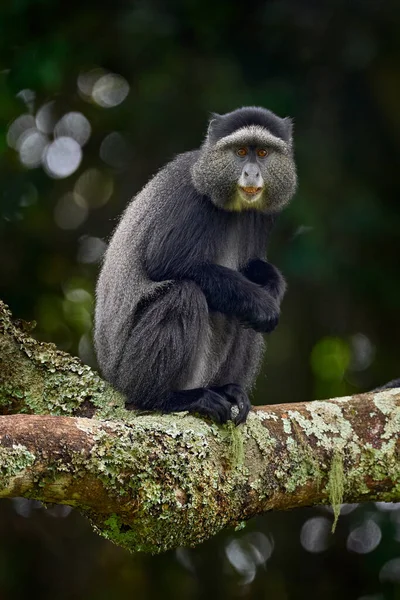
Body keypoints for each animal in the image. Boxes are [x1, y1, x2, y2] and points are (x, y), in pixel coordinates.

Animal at [94, 109, 296, 426]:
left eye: (262, 152)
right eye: (241, 152)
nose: (251, 173)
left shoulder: (263, 216)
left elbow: (253, 267)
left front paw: (272, 284)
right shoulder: (190, 198)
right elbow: (165, 263)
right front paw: (261, 302)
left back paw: (227, 389)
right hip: (129, 374)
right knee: (183, 294)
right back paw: (168, 398)